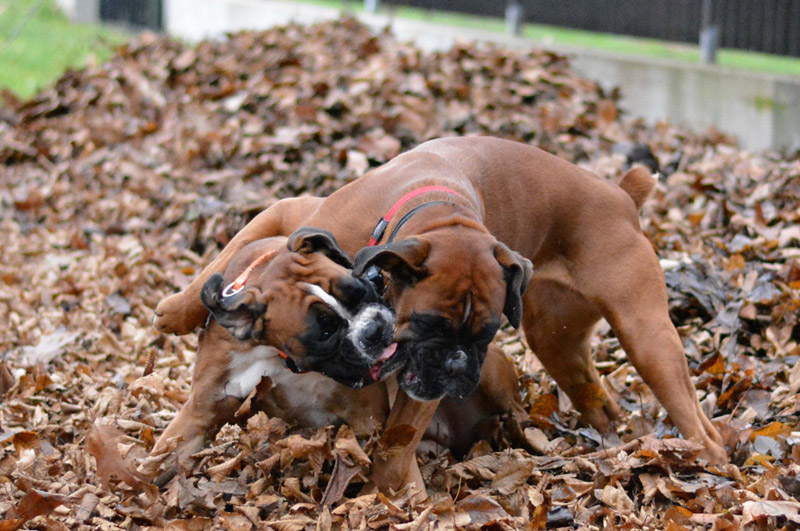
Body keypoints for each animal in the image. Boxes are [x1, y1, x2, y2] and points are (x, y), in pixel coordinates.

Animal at [153, 136, 728, 494]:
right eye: (427, 326)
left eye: (486, 334)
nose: (455, 364)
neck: (434, 213)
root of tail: (620, 194)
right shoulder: (292, 214)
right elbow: (227, 254)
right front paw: (176, 313)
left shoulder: (413, 384)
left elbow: (399, 436)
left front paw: (390, 495)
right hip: (558, 339)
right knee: (600, 403)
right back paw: (608, 451)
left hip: (645, 336)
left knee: (700, 426)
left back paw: (701, 463)